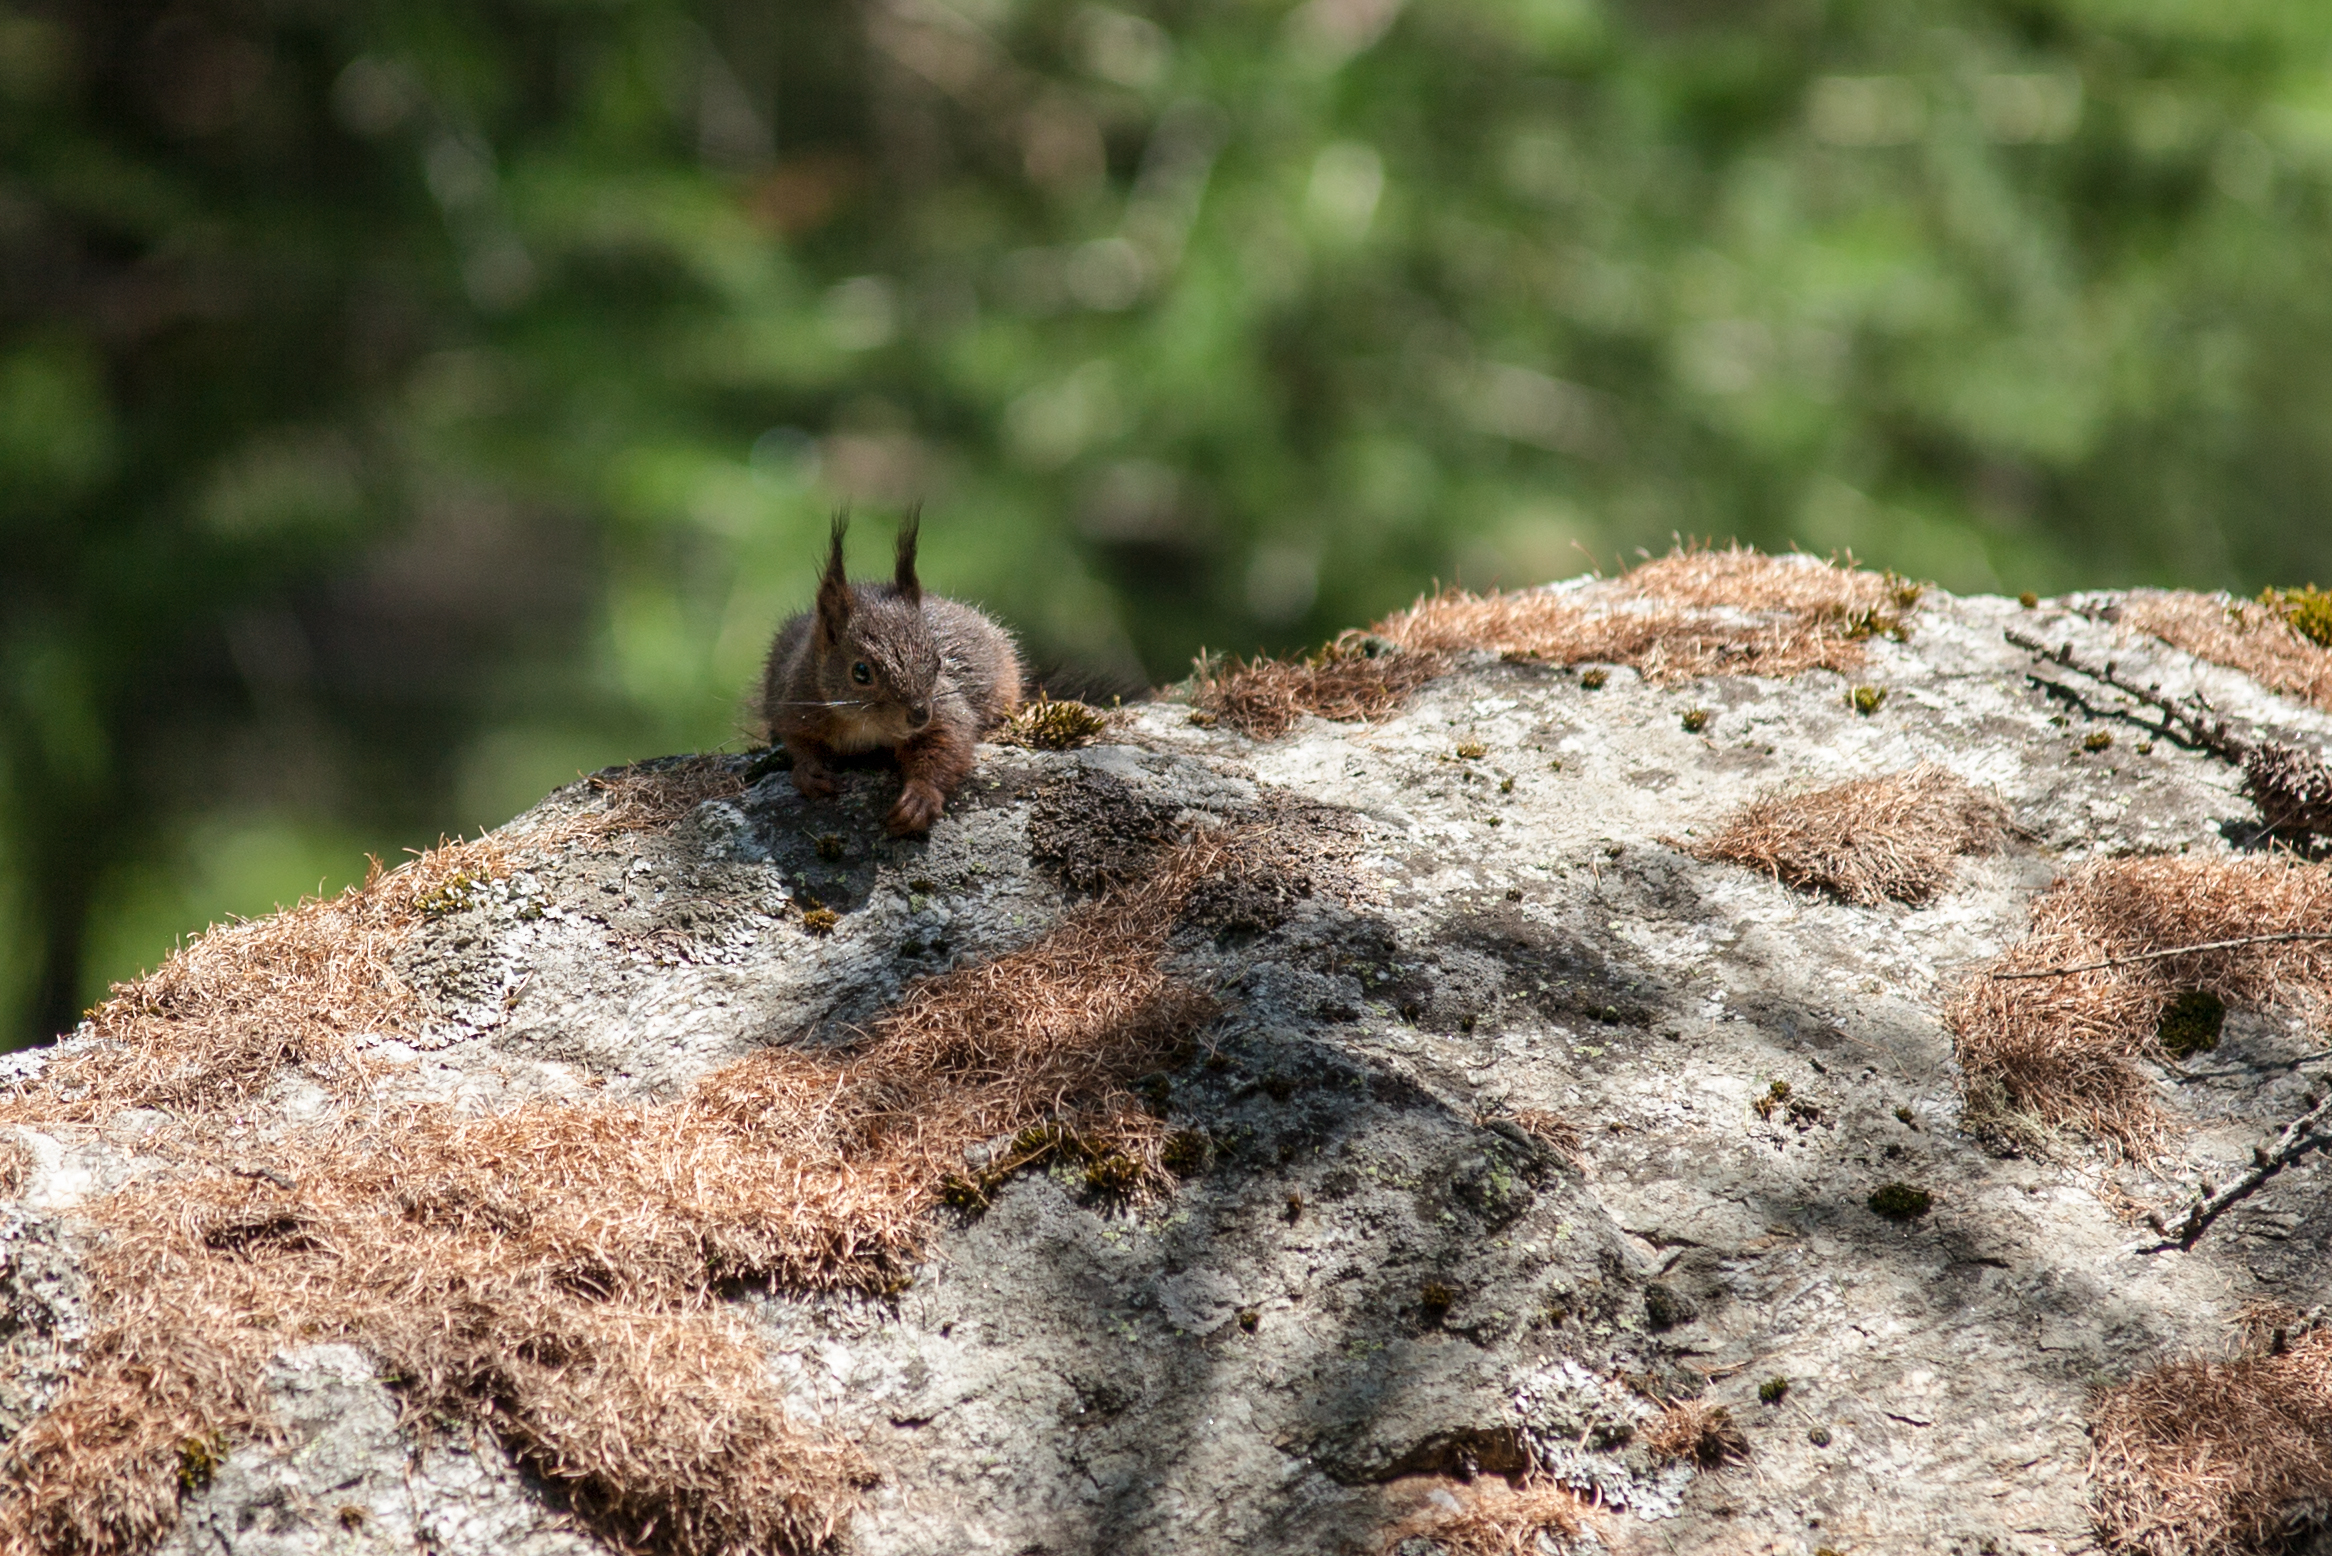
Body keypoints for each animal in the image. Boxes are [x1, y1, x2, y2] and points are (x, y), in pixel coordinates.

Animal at [760, 510, 1023, 836]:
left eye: (938, 662)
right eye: (861, 672)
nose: (919, 715)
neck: (864, 726)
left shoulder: (945, 707)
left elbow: (949, 741)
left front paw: (920, 798)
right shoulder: (796, 699)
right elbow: (797, 741)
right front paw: (809, 773)